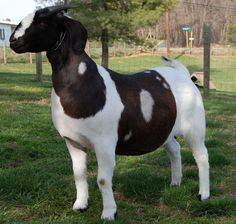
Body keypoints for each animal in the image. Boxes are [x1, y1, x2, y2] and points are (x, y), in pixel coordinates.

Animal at [9, 5, 209, 220]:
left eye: (44, 21)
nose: (13, 41)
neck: (83, 82)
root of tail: (183, 74)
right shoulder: (72, 142)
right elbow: (78, 175)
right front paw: (80, 205)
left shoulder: (105, 143)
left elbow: (103, 180)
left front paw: (108, 213)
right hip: (165, 129)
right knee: (175, 149)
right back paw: (175, 183)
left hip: (195, 128)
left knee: (202, 156)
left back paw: (203, 194)